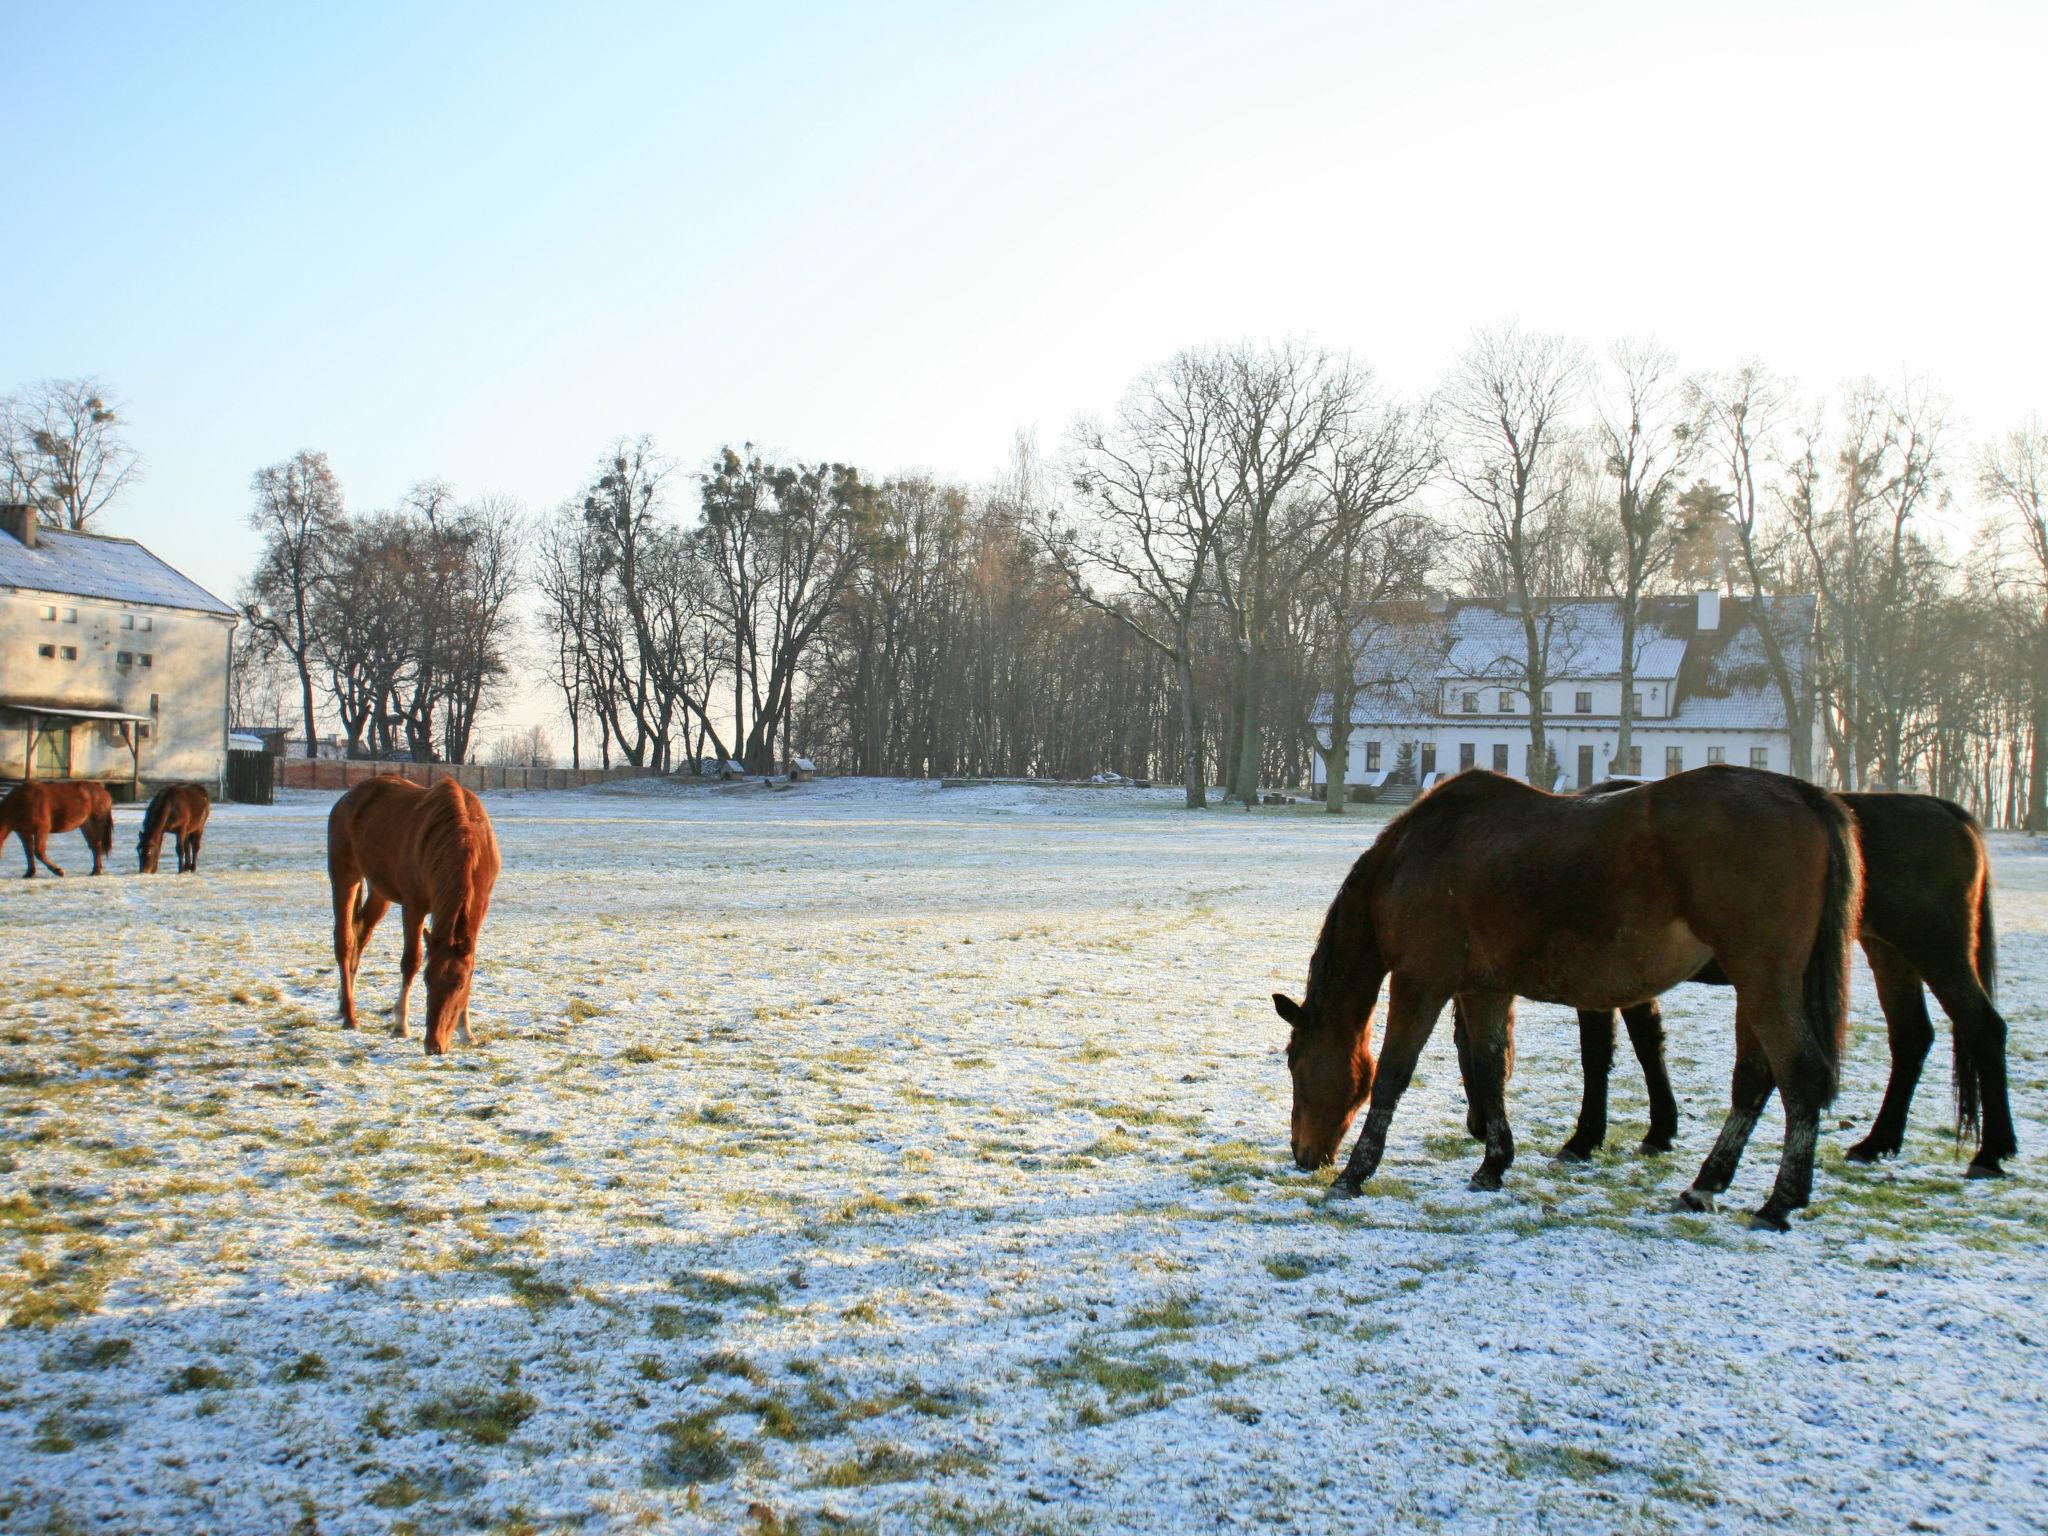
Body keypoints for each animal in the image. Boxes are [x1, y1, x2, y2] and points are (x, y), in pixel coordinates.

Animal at [331, 782, 503, 1056]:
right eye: (427, 980)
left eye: (459, 985)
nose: (434, 1045)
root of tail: (348, 797)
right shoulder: (414, 906)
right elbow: (411, 961)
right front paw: (400, 1025)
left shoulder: (481, 906)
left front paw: (466, 1031)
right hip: (345, 875)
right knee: (344, 942)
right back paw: (349, 1014)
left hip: (379, 891)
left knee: (361, 934)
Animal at [1269, 770, 1867, 1236]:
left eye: (1295, 1063)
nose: (1303, 1155)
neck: (1417, 855)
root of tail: (1803, 793)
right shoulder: (1483, 989)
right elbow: (1489, 1069)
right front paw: (1493, 1164)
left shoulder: (1421, 983)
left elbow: (1393, 1076)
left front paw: (1354, 1175)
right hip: (1763, 985)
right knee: (1759, 1079)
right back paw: (1708, 1184)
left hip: (1763, 979)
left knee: (1800, 1075)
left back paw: (1778, 1201)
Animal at [1548, 794, 2015, 1179]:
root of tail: (1945, 810)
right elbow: (1648, 1045)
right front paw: (1660, 1130)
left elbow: (1598, 1054)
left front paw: (1585, 1138)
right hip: (1890, 952)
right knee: (1912, 1037)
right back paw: (1877, 1142)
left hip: (1936, 949)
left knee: (1984, 1029)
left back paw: (1991, 1152)